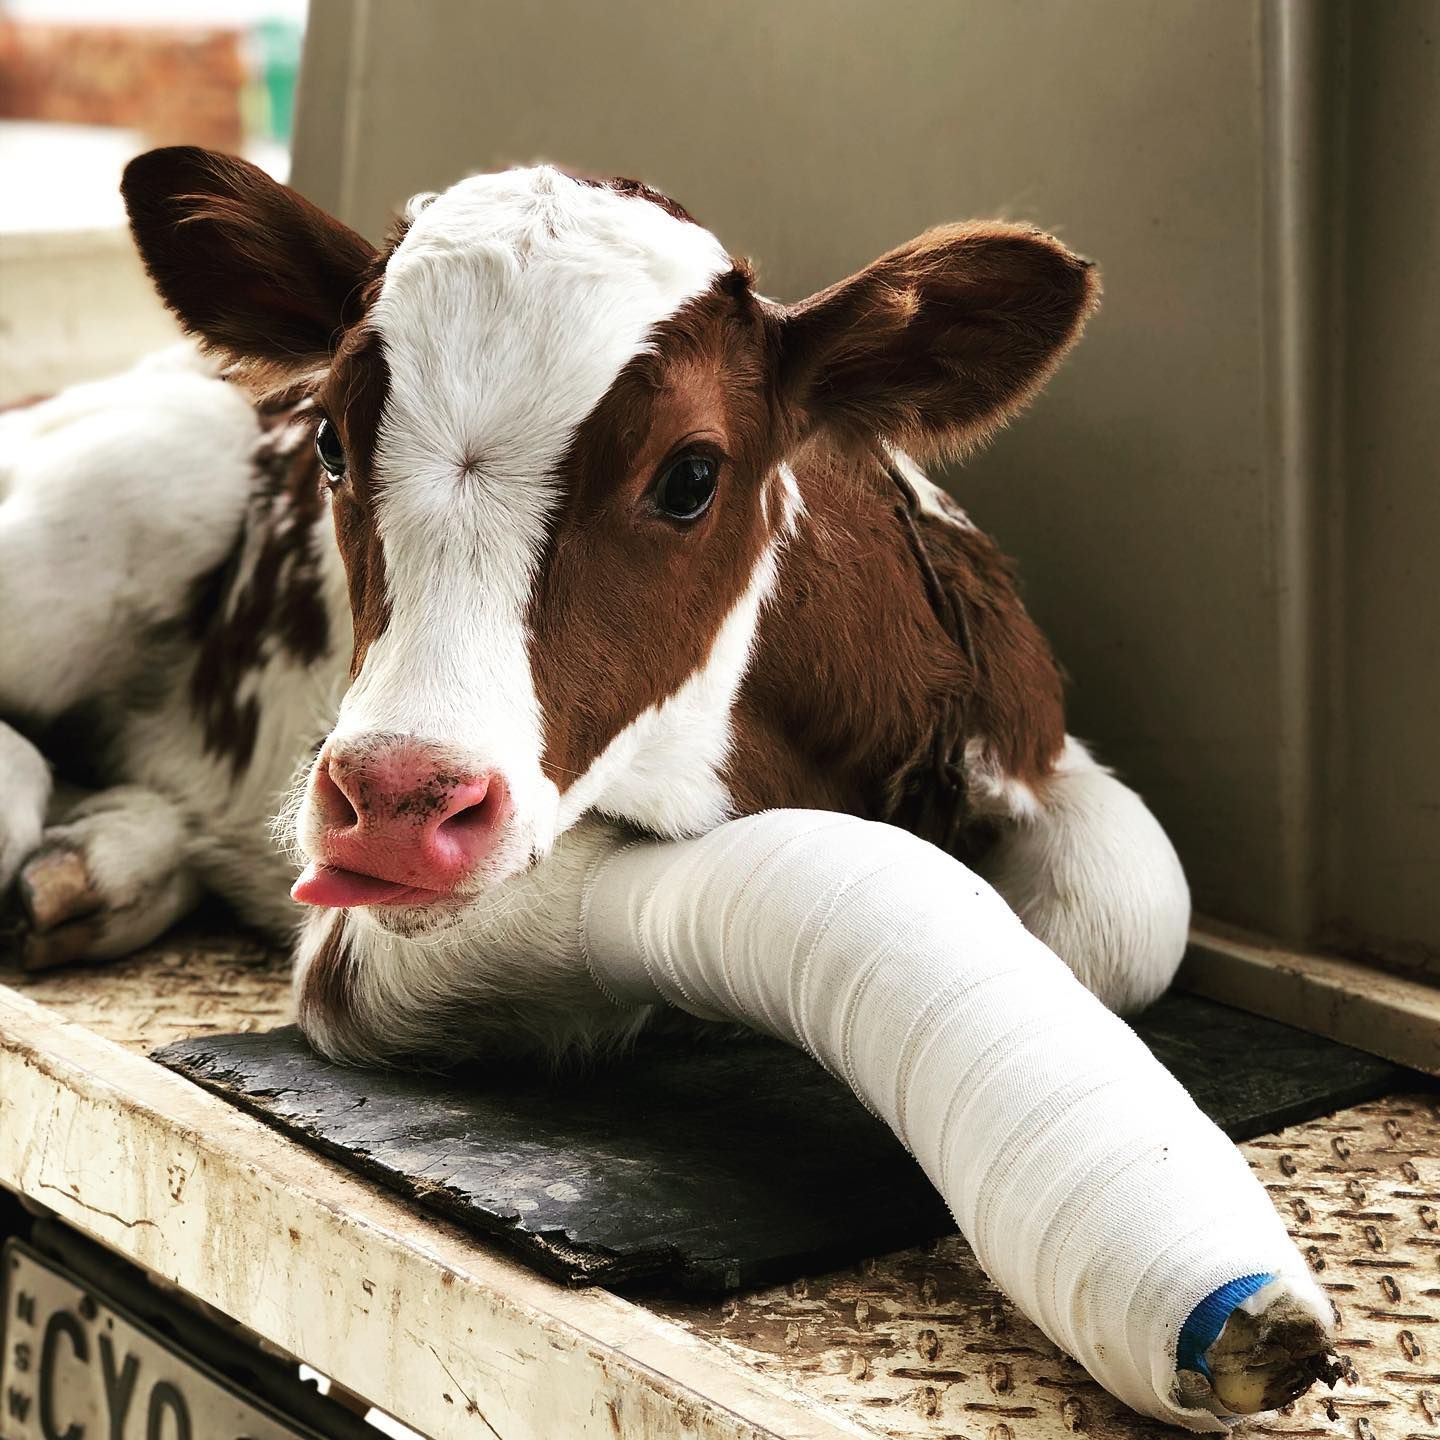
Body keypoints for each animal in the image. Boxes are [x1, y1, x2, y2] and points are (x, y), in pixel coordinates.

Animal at [0, 147, 1189, 1066]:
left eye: (692, 475)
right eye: (332, 441)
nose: (393, 804)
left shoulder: (1024, 722)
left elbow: (1130, 913)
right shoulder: (379, 936)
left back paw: (99, 863)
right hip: (144, 480)